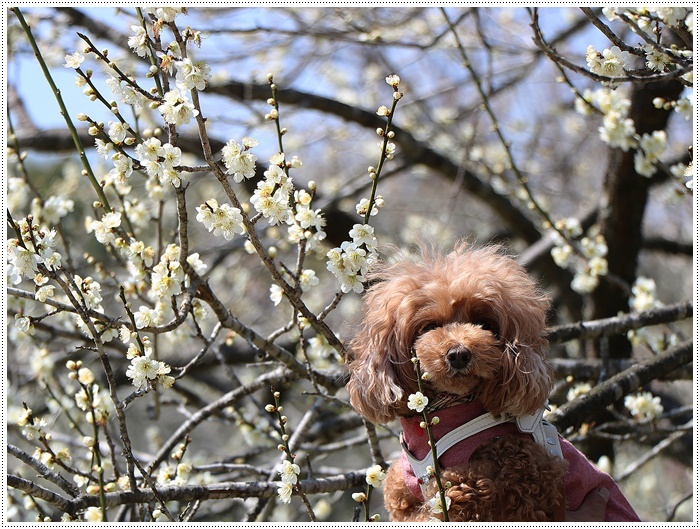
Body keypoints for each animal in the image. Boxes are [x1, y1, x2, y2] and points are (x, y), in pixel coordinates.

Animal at [344, 245, 640, 520]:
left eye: (483, 323)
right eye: (428, 327)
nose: (459, 354)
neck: (448, 410)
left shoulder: (526, 481)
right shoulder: (405, 494)